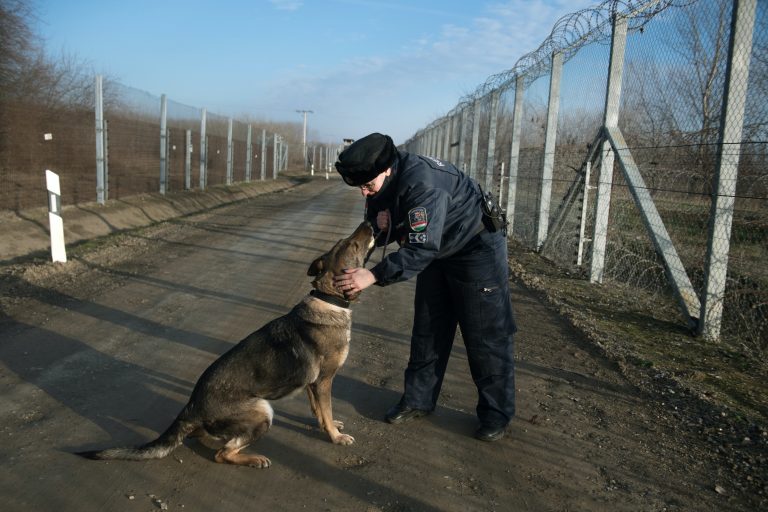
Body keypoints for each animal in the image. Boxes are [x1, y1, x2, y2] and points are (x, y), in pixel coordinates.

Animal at [78, 220, 376, 468]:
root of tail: (192, 407)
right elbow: (325, 409)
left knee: (205, 438)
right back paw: (253, 459)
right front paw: (335, 436)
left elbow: (320, 411)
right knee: (222, 453)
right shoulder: (323, 381)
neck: (328, 299)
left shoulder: (314, 385)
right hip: (263, 411)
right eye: (352, 245)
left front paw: (330, 426)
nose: (370, 223)